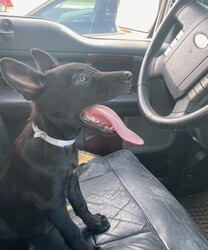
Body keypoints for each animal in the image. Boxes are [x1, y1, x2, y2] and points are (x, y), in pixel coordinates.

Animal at [0, 49, 132, 249]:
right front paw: (86, 246)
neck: (57, 144)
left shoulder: (72, 182)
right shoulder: (53, 204)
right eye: (82, 79)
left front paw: (94, 223)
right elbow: (71, 230)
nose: (129, 75)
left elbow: (81, 205)